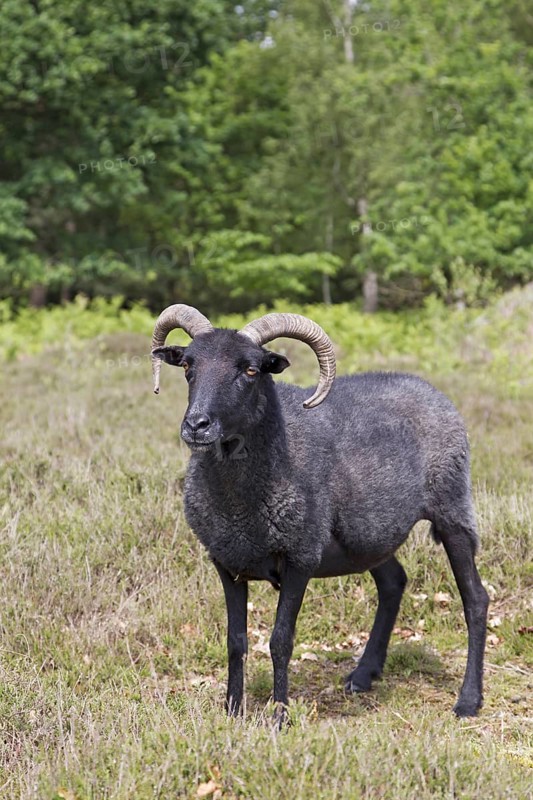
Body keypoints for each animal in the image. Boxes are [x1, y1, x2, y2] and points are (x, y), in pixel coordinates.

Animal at [151, 304, 489, 723]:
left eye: (251, 370)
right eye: (187, 366)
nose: (197, 425)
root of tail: (428, 388)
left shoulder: (301, 556)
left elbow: (280, 641)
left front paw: (280, 716)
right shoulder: (227, 562)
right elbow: (235, 641)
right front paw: (231, 711)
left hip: (452, 508)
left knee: (475, 599)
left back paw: (468, 701)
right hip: (368, 537)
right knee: (393, 582)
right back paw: (363, 674)